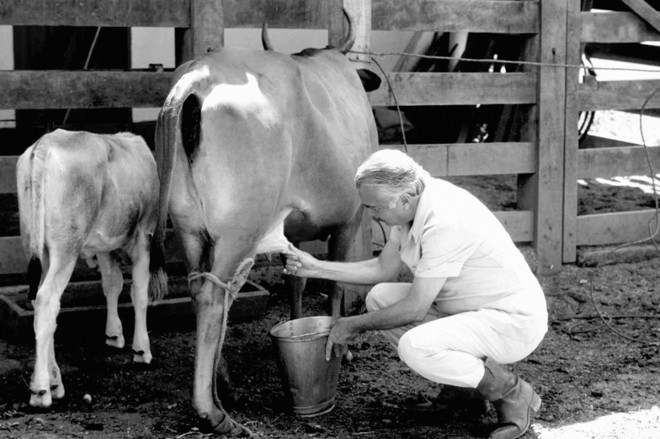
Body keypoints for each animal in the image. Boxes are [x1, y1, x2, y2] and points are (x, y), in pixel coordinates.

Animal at [16, 129, 166, 408]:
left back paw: (53, 381)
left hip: (38, 245)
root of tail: (44, 145)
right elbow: (139, 293)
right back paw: (42, 389)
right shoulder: (144, 236)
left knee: (41, 306)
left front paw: (114, 334)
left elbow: (112, 284)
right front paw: (141, 349)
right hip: (67, 247)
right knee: (47, 301)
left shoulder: (104, 247)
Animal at [151, 11, 379, 435]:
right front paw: (340, 346)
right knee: (214, 298)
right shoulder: (350, 218)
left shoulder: (293, 231)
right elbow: (336, 284)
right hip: (239, 231)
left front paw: (299, 326)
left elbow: (297, 281)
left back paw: (223, 380)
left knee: (198, 290)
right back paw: (213, 413)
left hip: (190, 228)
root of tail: (200, 76)